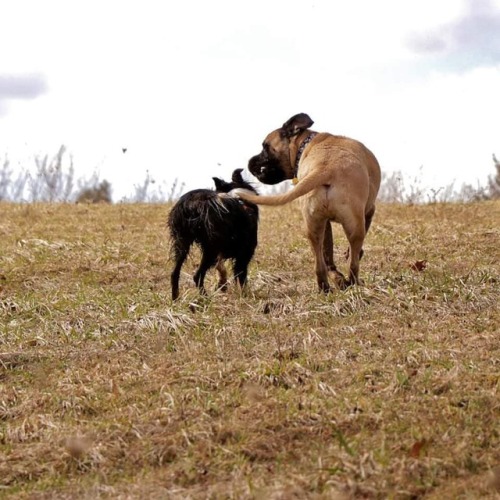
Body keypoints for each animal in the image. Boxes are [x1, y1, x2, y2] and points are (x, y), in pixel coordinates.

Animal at [169, 168, 260, 300]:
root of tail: (193, 203)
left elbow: (221, 268)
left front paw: (222, 285)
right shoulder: (244, 254)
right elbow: (241, 278)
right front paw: (244, 295)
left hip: (182, 243)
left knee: (175, 273)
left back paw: (176, 298)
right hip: (211, 248)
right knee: (198, 275)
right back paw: (205, 298)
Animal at [234, 113, 382, 292]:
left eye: (265, 146)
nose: (250, 162)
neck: (305, 143)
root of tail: (326, 167)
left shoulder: (326, 223)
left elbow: (328, 250)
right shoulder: (369, 212)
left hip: (314, 226)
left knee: (321, 263)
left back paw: (328, 286)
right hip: (355, 227)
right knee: (353, 262)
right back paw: (353, 283)